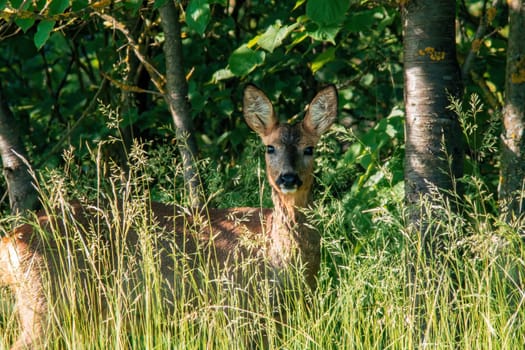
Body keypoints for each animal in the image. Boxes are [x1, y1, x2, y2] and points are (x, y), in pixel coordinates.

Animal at [0, 83, 336, 348]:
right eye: (270, 148)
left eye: (309, 149)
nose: (288, 178)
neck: (278, 258)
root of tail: (11, 242)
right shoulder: (236, 308)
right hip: (46, 304)